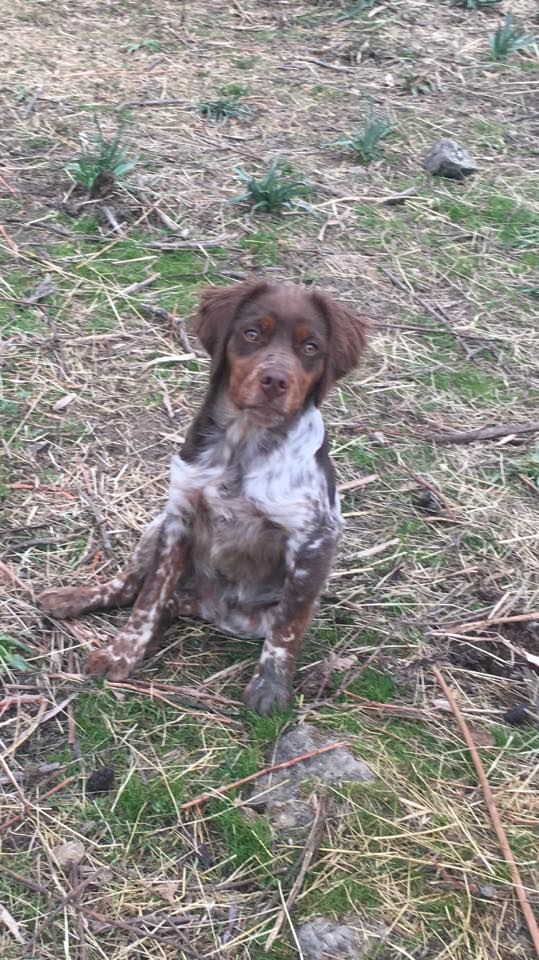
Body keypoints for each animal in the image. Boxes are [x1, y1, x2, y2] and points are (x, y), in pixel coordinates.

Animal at [37, 278, 368, 712]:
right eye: (252, 333)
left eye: (311, 347)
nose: (275, 381)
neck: (247, 442)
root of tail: (211, 605)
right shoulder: (180, 515)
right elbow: (148, 597)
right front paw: (122, 653)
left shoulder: (315, 538)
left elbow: (287, 627)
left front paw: (269, 689)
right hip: (155, 526)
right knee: (131, 586)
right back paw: (75, 598)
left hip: (248, 616)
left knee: (189, 606)